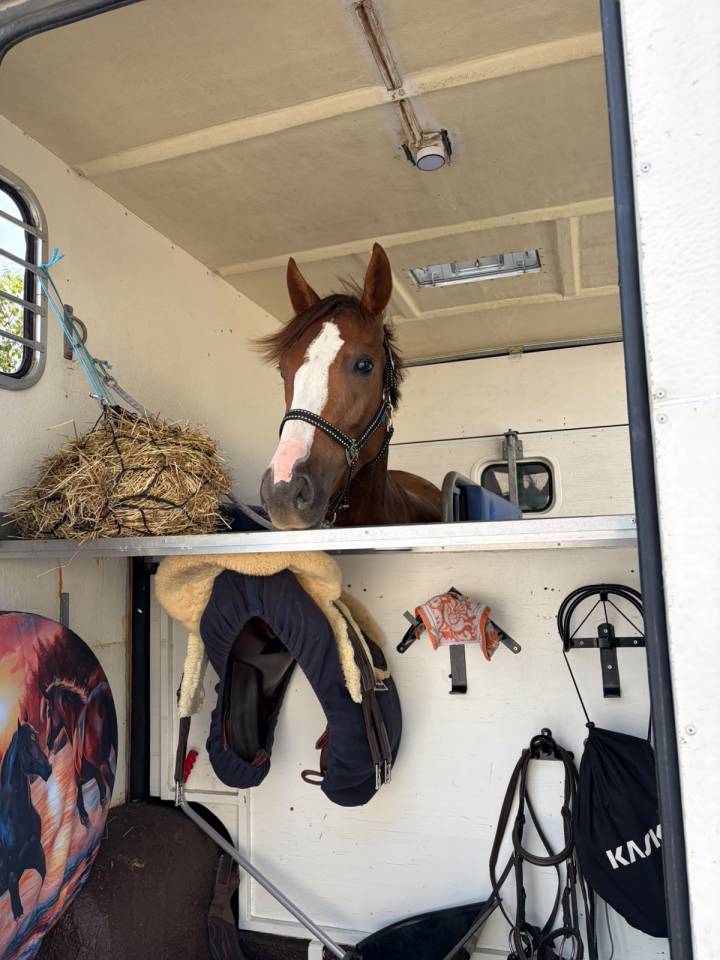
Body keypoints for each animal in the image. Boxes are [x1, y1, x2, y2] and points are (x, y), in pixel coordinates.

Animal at [0, 720, 51, 919]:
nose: (47, 769)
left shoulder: (37, 854)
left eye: (36, 738)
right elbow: (17, 907)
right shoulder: (12, 871)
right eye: (24, 747)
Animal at [43, 680, 117, 827]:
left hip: (102, 763)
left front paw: (84, 816)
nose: (48, 742)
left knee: (111, 780)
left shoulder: (87, 770)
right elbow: (101, 791)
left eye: (48, 711)